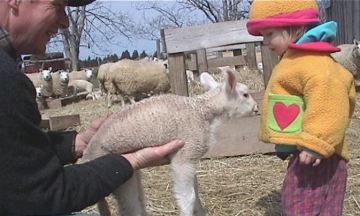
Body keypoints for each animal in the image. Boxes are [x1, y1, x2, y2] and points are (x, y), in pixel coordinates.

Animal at [80, 66, 258, 216]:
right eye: (245, 94)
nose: (256, 108)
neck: (202, 111)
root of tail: (87, 155)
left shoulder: (191, 158)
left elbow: (195, 192)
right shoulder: (184, 155)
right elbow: (188, 198)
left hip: (130, 172)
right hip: (120, 178)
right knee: (130, 207)